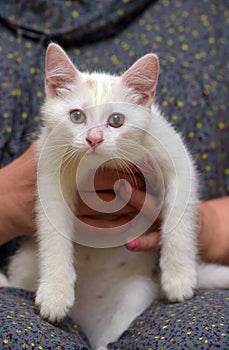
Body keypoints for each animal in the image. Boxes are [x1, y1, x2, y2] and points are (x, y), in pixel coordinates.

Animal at [2, 44, 229, 350]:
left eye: (116, 120)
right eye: (76, 116)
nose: (94, 139)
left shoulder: (175, 156)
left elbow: (180, 218)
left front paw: (179, 277)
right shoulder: (49, 169)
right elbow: (53, 234)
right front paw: (54, 293)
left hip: (132, 298)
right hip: (25, 262)